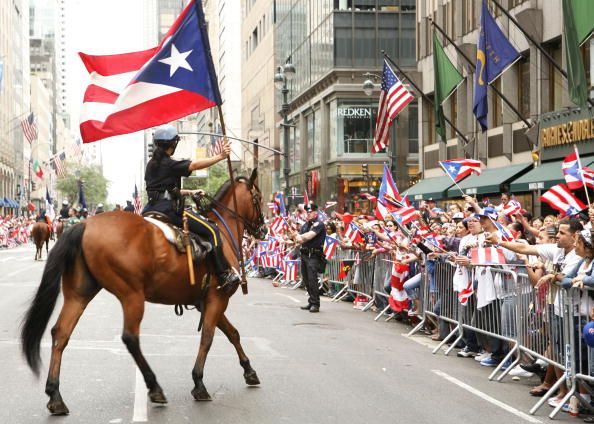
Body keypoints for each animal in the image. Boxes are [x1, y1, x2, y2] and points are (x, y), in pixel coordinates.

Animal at [21, 170, 264, 414]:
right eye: (258, 198)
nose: (263, 229)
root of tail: (85, 225)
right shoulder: (217, 298)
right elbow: (208, 337)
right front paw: (199, 383)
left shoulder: (205, 302)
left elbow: (232, 333)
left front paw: (249, 371)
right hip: (132, 295)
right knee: (130, 338)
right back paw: (154, 387)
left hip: (79, 294)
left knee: (61, 333)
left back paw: (55, 396)